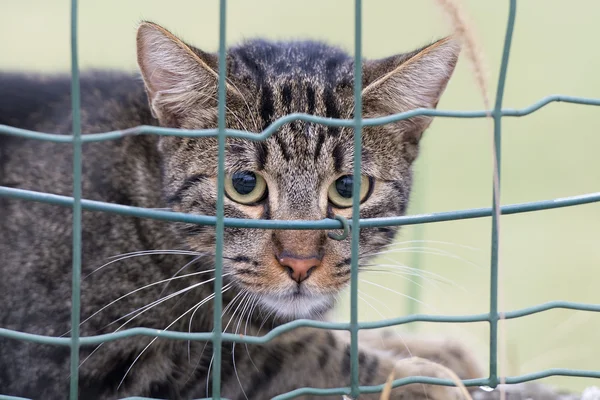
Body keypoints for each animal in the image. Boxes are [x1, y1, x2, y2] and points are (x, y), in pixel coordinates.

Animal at [0, 22, 482, 400]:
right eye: (245, 185)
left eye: (348, 188)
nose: (300, 262)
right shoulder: (87, 351)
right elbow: (280, 356)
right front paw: (413, 377)